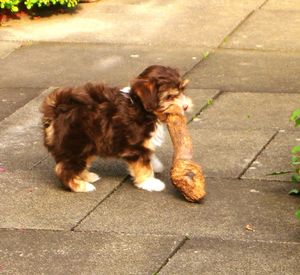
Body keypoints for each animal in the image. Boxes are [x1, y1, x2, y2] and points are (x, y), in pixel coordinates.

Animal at [40, 65, 192, 193]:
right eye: (169, 96)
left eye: (182, 91)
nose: (185, 107)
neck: (141, 107)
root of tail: (57, 109)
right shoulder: (136, 146)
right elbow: (143, 165)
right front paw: (150, 182)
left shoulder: (143, 143)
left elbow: (149, 154)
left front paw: (156, 165)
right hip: (75, 146)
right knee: (64, 169)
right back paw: (81, 186)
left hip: (88, 146)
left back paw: (87, 176)